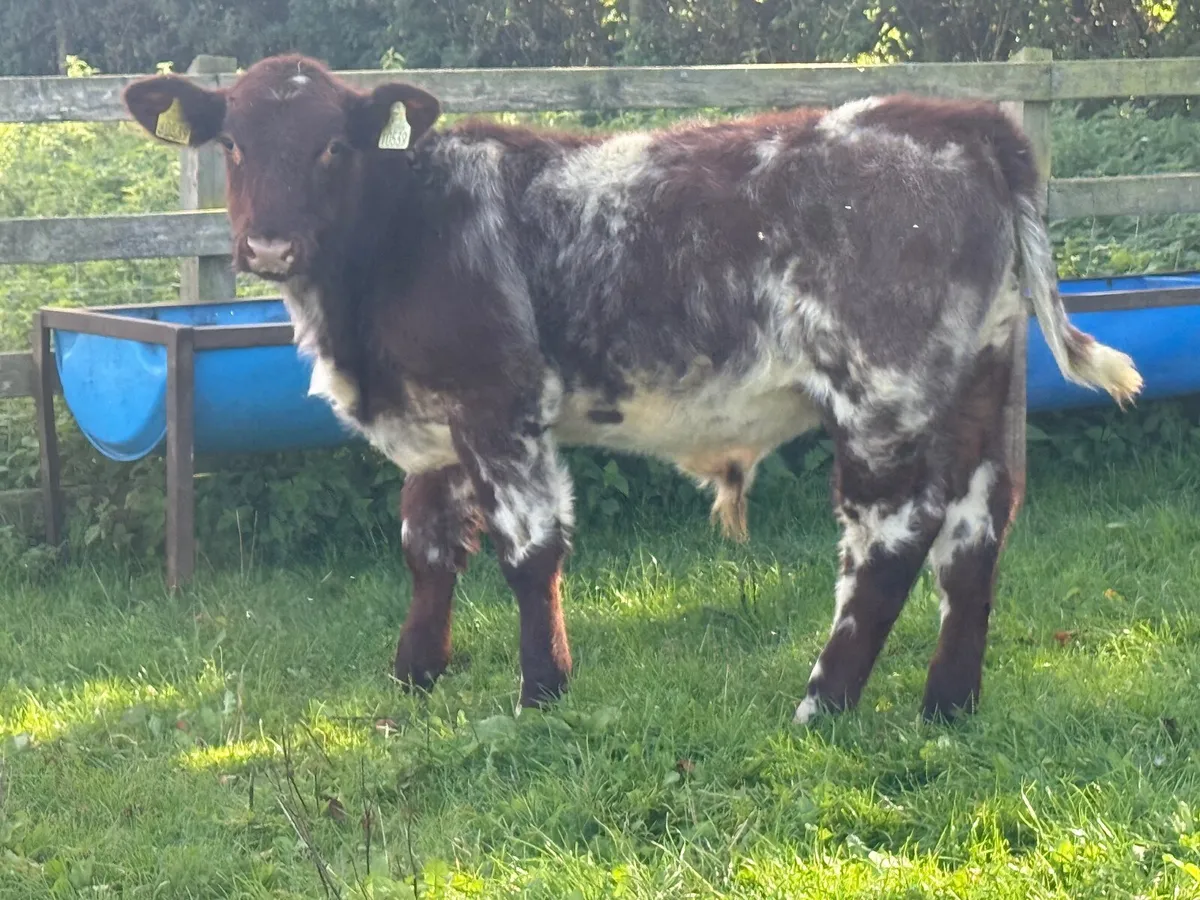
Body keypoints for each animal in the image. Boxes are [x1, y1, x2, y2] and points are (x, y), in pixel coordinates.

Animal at [122, 54, 1142, 724]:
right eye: (233, 144)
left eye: (335, 147)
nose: (268, 244)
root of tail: (962, 122)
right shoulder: (436, 426)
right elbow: (426, 549)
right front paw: (415, 674)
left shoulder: (499, 405)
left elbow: (528, 553)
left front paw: (542, 691)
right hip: (985, 379)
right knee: (979, 529)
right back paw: (947, 704)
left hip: (883, 393)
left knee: (893, 538)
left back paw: (823, 703)